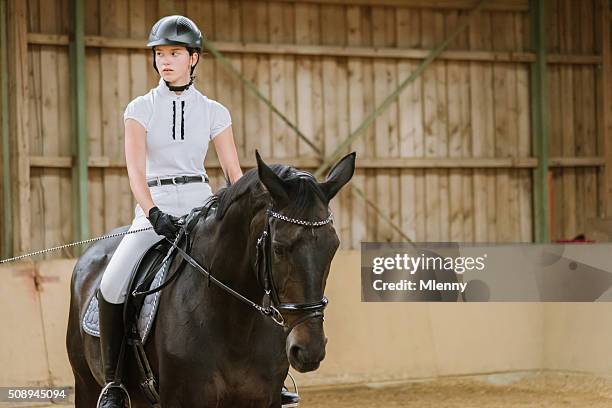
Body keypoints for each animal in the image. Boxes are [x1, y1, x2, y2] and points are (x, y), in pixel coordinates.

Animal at [67, 151, 356, 406]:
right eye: (278, 248)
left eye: (333, 247)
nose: (309, 350)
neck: (235, 324)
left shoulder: (264, 399)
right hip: (85, 383)